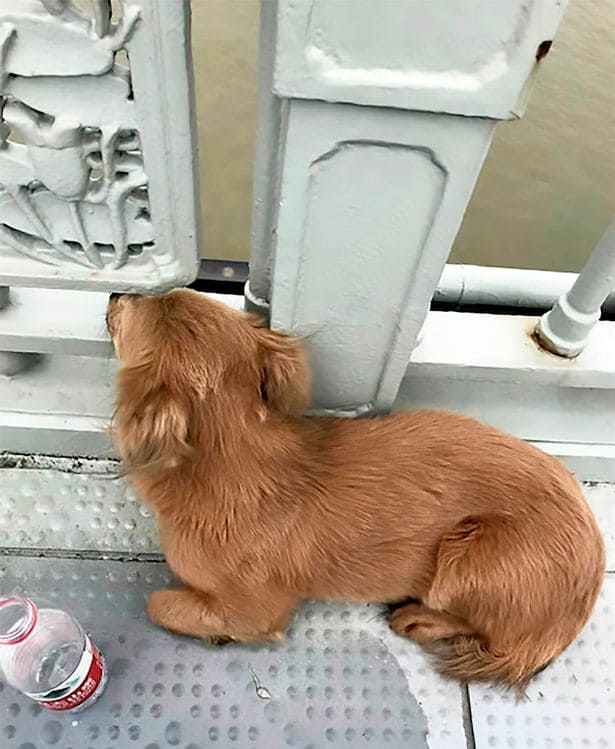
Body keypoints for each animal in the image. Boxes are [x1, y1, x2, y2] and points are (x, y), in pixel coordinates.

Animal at [107, 290, 608, 688]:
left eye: (133, 311)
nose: (115, 293)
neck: (237, 454)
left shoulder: (254, 610)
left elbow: (158, 602)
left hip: (470, 556)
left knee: (487, 634)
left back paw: (418, 618)